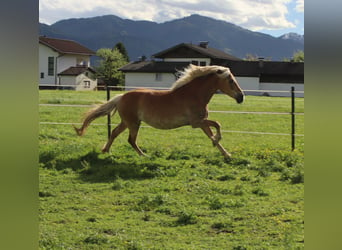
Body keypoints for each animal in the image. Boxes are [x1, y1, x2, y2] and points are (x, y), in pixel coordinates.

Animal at [74, 64, 244, 158]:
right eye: (230, 80)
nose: (241, 97)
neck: (194, 94)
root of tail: (121, 97)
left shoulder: (201, 123)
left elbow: (211, 133)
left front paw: (226, 154)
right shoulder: (196, 122)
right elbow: (218, 124)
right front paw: (217, 142)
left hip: (128, 122)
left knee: (115, 133)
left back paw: (106, 151)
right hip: (133, 123)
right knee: (131, 140)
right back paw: (144, 155)